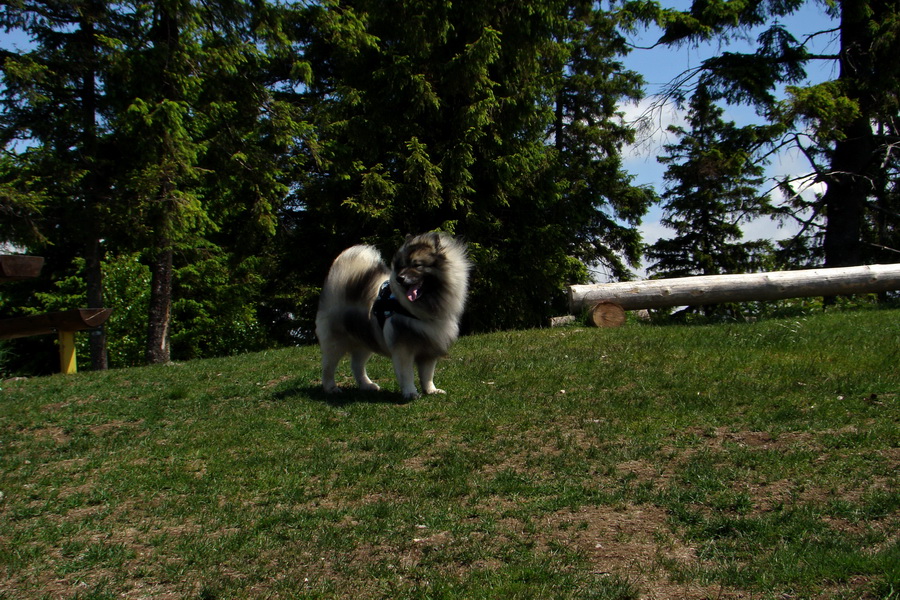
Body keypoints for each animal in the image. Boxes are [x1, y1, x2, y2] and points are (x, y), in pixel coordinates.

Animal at [314, 232, 472, 400]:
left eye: (417, 265)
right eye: (402, 266)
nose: (400, 278)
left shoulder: (429, 348)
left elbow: (428, 374)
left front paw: (431, 390)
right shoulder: (403, 348)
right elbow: (407, 374)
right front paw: (411, 392)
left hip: (366, 340)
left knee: (357, 365)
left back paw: (367, 385)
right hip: (335, 343)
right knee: (328, 367)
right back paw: (331, 388)